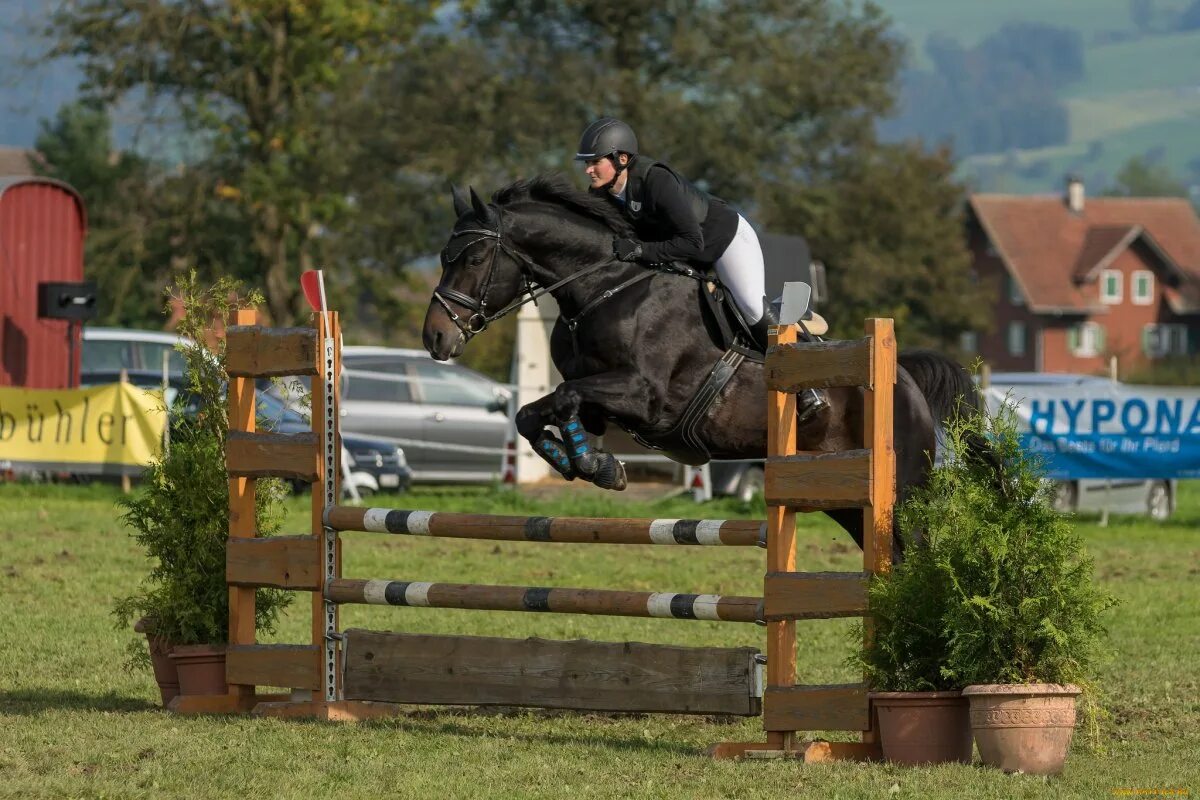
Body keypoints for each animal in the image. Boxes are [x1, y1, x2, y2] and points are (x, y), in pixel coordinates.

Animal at [420, 178, 974, 561]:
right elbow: (539, 411)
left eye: (472, 258)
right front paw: (585, 461)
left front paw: (594, 464)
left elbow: (564, 397)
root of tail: (903, 377)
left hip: (901, 490)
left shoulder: (645, 396)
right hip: (843, 498)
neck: (605, 287)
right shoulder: (604, 399)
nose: (435, 338)